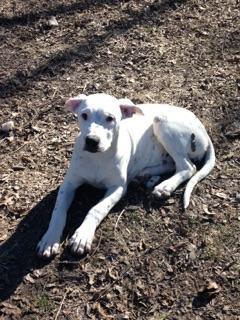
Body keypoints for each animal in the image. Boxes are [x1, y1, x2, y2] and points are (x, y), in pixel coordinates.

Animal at [37, 92, 216, 258]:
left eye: (110, 118)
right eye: (84, 115)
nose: (91, 141)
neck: (98, 157)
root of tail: (204, 130)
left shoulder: (117, 188)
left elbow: (96, 209)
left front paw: (82, 235)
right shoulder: (68, 184)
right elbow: (58, 211)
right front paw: (50, 239)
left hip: (163, 122)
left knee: (188, 167)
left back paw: (165, 186)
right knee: (172, 164)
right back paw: (143, 175)